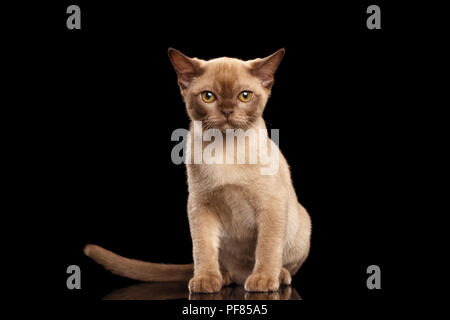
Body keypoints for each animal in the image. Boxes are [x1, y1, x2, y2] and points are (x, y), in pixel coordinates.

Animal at [84, 48, 312, 292]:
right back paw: (224, 276)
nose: (227, 111)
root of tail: (240, 275)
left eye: (244, 96)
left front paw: (263, 280)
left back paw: (278, 275)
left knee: (284, 263)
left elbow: (267, 247)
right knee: (225, 265)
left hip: (302, 225)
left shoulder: (271, 204)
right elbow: (203, 248)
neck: (226, 149)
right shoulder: (200, 206)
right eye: (208, 96)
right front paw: (205, 280)